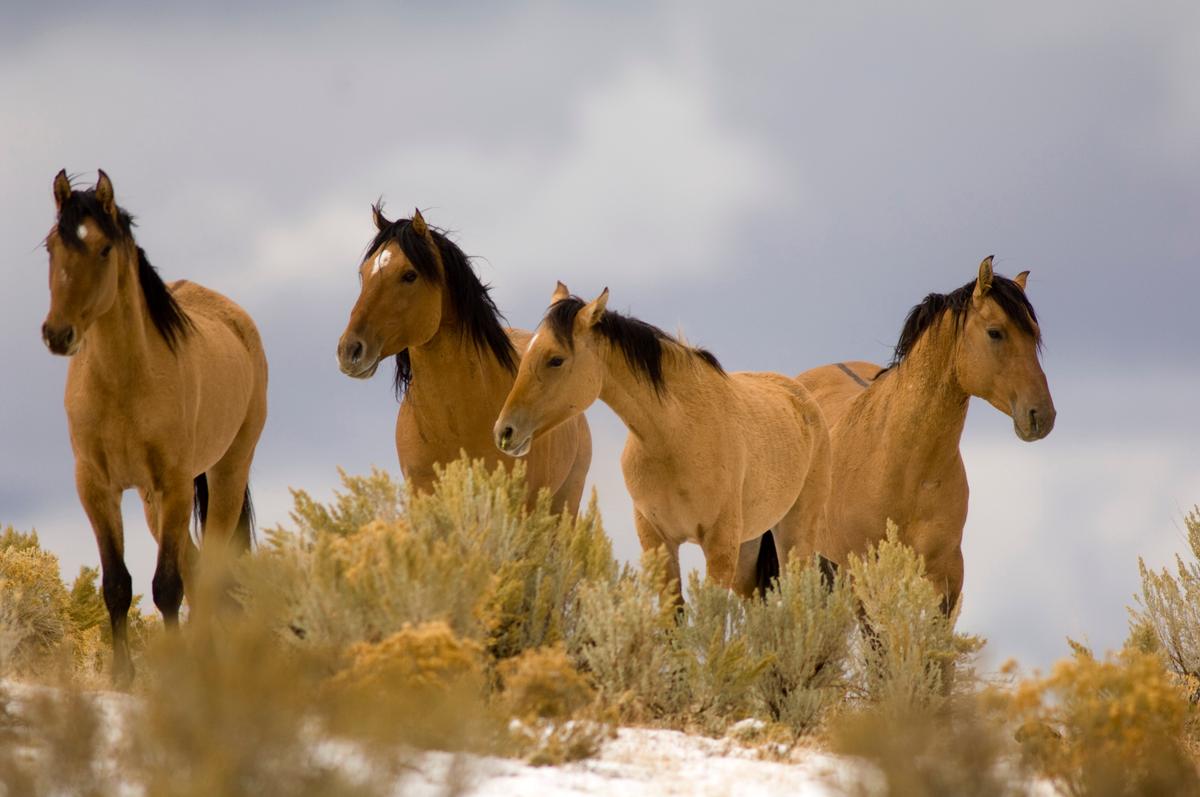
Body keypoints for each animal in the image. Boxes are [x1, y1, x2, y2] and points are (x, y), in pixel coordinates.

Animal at [41, 170, 268, 685]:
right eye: (51, 245)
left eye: (104, 248)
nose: (58, 334)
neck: (124, 381)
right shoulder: (96, 487)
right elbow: (117, 584)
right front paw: (123, 676)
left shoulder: (174, 483)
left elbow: (167, 586)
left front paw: (176, 674)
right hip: (151, 501)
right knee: (197, 567)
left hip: (224, 474)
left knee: (210, 573)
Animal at [493, 282, 831, 600]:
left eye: (556, 359)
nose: (504, 431)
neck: (676, 436)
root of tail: (804, 400)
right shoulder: (658, 541)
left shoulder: (719, 545)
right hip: (749, 546)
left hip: (794, 536)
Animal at [794, 256, 1055, 613]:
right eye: (995, 332)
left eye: (1035, 334)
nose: (1042, 415)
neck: (903, 467)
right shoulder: (863, 577)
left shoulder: (946, 579)